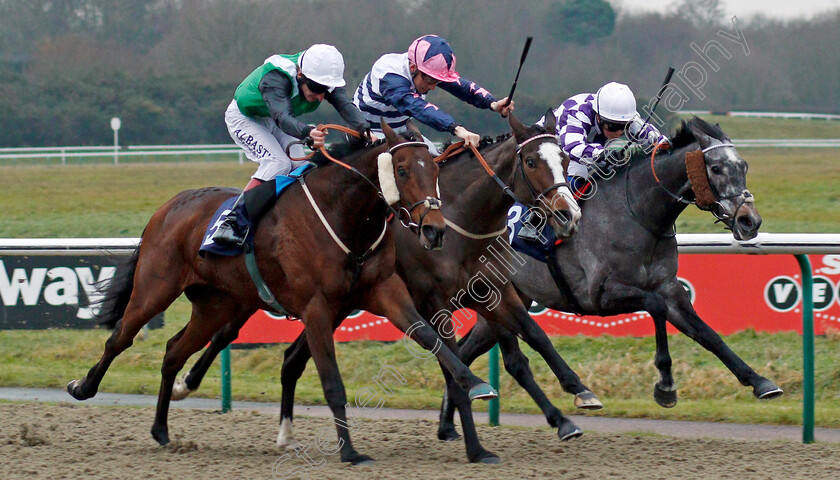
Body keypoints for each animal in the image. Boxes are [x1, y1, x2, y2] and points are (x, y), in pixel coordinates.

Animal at [67, 122, 498, 464]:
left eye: (435, 170)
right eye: (404, 169)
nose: (434, 230)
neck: (343, 216)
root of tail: (168, 207)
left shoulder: (384, 291)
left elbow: (432, 340)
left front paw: (476, 390)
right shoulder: (317, 308)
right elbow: (331, 381)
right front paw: (350, 452)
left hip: (215, 303)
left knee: (174, 351)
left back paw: (161, 430)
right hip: (155, 287)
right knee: (120, 337)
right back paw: (83, 387)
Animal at [436, 116, 784, 436]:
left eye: (744, 166)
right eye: (716, 168)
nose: (750, 220)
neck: (638, 213)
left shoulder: (670, 289)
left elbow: (708, 334)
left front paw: (759, 381)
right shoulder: (602, 294)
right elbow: (655, 308)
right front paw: (665, 386)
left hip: (505, 301)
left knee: (464, 350)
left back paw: (447, 423)